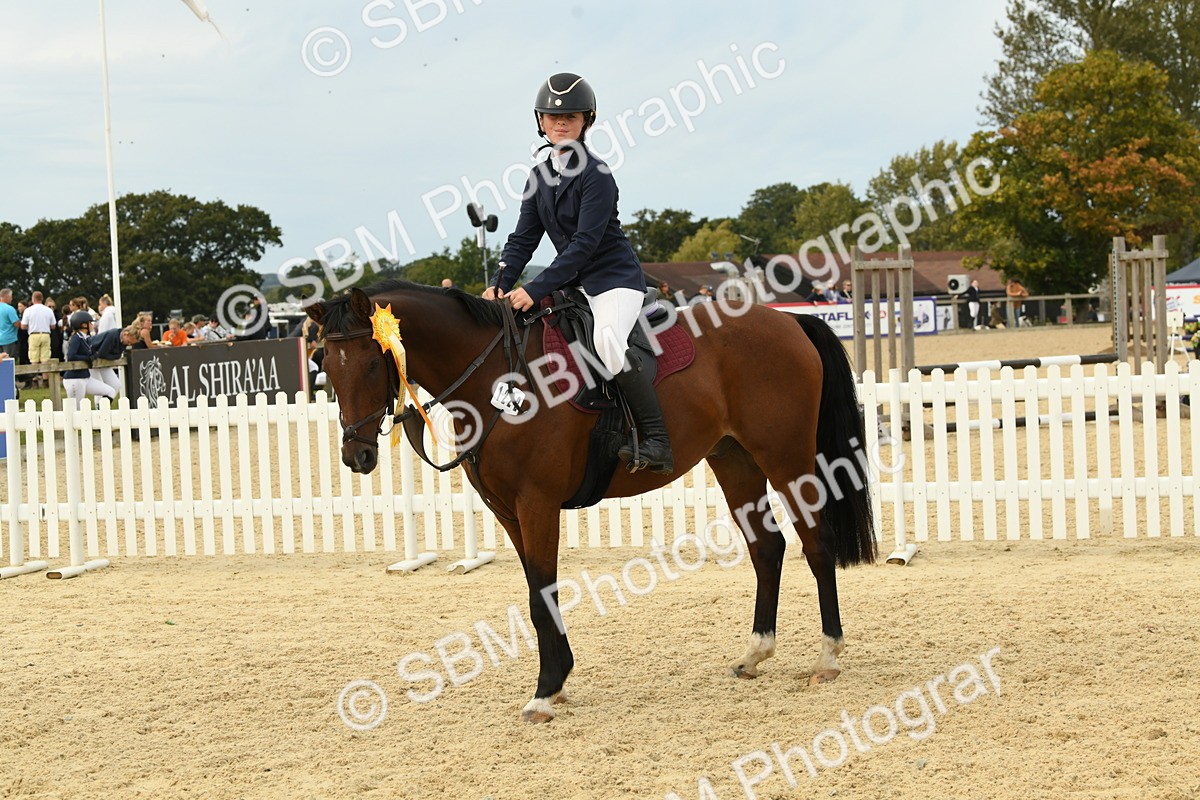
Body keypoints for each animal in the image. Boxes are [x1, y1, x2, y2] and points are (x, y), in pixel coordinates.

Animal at [307, 279, 876, 723]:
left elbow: (541, 597)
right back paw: (755, 653)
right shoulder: (507, 511)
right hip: (734, 461)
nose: (356, 455)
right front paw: (556, 681)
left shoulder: (536, 504)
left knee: (817, 545)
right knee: (767, 549)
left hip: (786, 459)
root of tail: (790, 323)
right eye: (326, 365)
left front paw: (543, 693)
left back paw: (828, 657)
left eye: (370, 363)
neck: (499, 377)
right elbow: (539, 593)